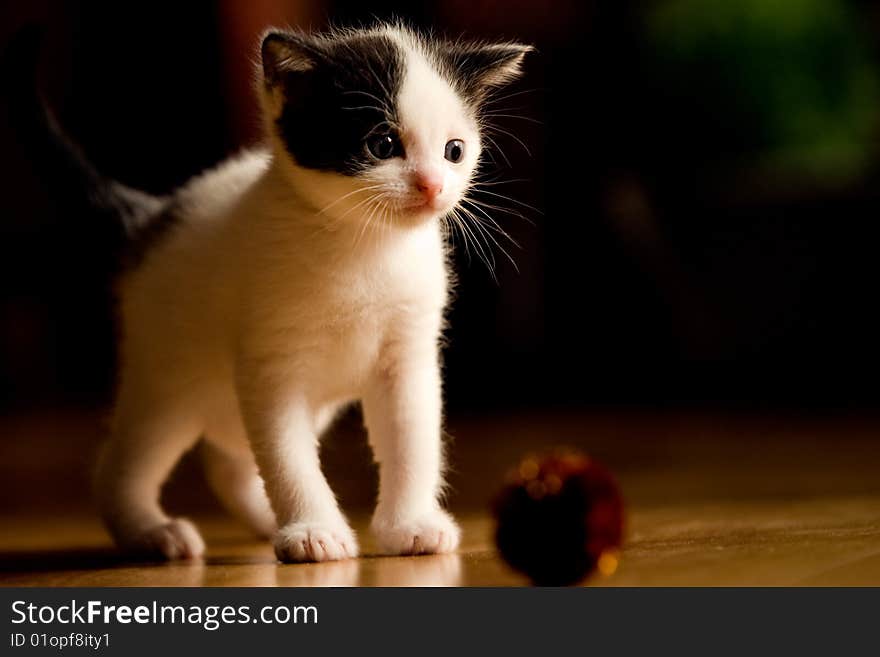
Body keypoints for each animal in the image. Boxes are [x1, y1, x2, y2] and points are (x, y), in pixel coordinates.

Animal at [77, 24, 528, 560]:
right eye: (382, 144)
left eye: (454, 150)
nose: (433, 185)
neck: (365, 247)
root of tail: (152, 218)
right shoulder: (272, 363)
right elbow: (286, 454)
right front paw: (313, 530)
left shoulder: (408, 354)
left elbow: (411, 439)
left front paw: (409, 524)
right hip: (168, 375)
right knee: (122, 463)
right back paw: (151, 532)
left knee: (230, 461)